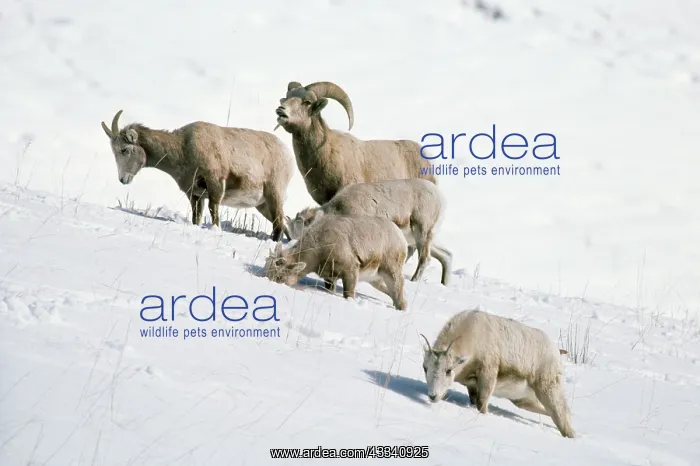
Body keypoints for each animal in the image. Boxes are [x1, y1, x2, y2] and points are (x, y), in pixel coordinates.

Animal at [100, 110, 294, 241]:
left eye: (124, 149)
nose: (123, 179)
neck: (183, 148)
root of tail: (287, 154)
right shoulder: (195, 194)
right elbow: (197, 218)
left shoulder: (214, 185)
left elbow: (214, 213)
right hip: (262, 205)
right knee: (285, 225)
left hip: (274, 195)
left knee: (279, 225)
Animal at [264, 214, 408, 310]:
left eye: (280, 276)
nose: (269, 281)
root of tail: (401, 237)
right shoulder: (330, 278)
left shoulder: (350, 270)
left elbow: (348, 295)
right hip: (375, 280)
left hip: (391, 271)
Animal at [285, 179, 453, 286]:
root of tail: (442, 198)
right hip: (421, 238)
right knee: (446, 256)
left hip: (422, 233)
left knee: (425, 258)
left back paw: (414, 280)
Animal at [421, 309, 576, 438]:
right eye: (425, 368)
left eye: (448, 370)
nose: (433, 396)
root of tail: (556, 351)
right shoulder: (472, 386)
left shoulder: (487, 374)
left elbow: (482, 404)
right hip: (524, 400)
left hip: (548, 391)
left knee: (562, 414)